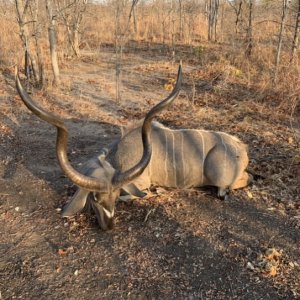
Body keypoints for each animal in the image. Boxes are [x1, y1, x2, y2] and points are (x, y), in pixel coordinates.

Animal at [15, 65, 251, 230]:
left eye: (112, 196)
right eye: (95, 198)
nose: (109, 226)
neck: (118, 155)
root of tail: (242, 149)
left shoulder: (140, 183)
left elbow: (135, 194)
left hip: (220, 179)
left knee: (232, 185)